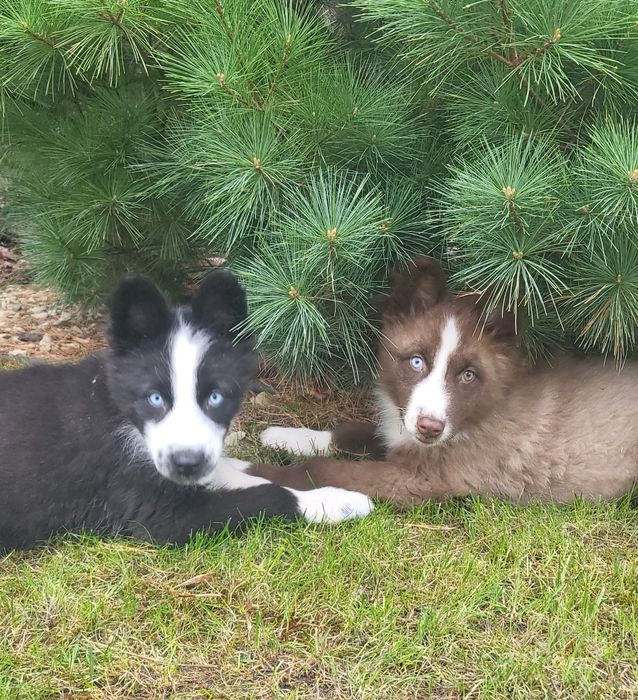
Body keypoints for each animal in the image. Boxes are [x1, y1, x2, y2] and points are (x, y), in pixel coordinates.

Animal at [0, 270, 373, 550]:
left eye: (216, 398)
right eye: (155, 399)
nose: (187, 464)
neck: (118, 411)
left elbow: (236, 473)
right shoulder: (160, 515)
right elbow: (271, 495)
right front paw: (335, 503)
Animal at [251, 256, 638, 505]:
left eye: (468, 375)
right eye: (417, 361)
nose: (429, 428)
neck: (481, 414)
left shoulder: (420, 479)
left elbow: (322, 469)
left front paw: (253, 472)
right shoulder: (400, 431)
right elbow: (351, 432)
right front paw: (285, 436)